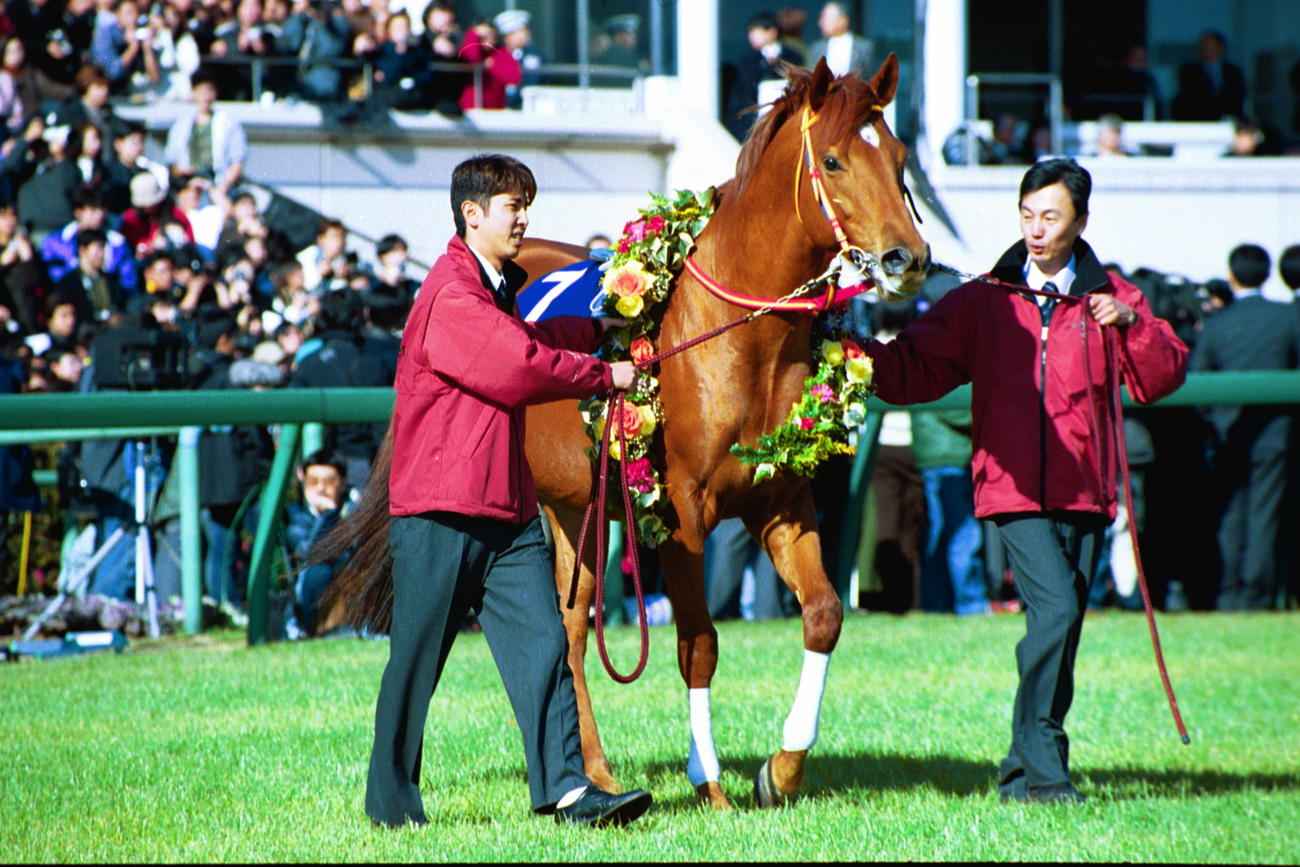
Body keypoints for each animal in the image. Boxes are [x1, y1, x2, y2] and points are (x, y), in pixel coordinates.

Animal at [316, 55, 931, 810]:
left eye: (900, 158)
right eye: (837, 160)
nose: (909, 259)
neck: (733, 338)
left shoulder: (782, 501)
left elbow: (822, 614)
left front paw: (781, 768)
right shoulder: (682, 514)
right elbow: (698, 642)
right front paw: (710, 780)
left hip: (574, 510)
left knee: (567, 628)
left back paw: (594, 774)